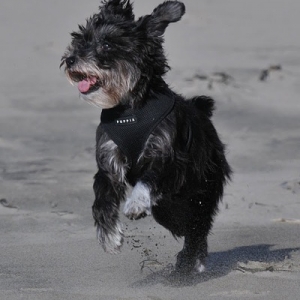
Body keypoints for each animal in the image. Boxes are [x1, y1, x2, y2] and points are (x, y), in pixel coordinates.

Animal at [59, 0, 231, 276]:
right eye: (80, 39)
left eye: (107, 44)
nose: (70, 59)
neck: (130, 109)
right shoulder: (109, 161)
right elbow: (101, 200)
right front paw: (109, 236)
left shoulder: (168, 158)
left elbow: (149, 178)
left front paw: (137, 204)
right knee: (181, 221)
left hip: (203, 187)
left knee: (197, 224)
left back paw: (189, 260)